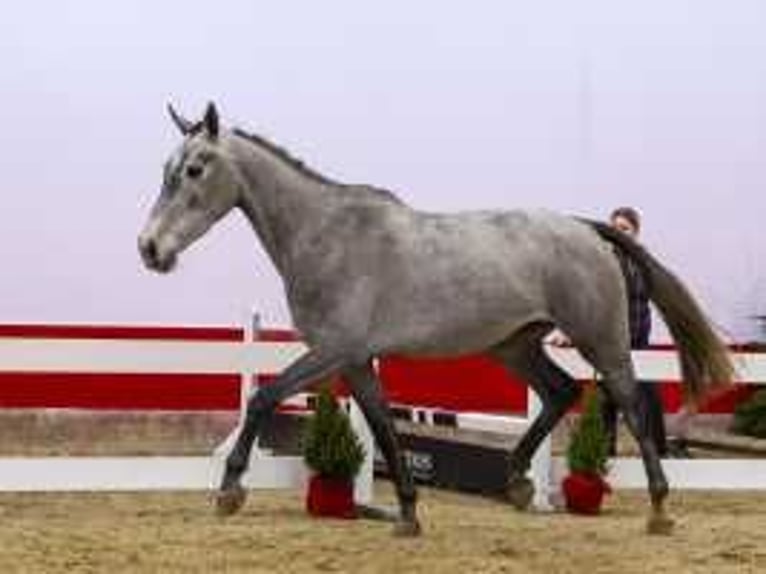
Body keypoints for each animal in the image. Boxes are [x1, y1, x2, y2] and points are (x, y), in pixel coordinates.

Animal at [141, 104, 736, 540]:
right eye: (166, 170)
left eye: (194, 169)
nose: (150, 249)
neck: (326, 235)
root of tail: (586, 229)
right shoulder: (355, 361)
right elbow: (383, 426)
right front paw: (407, 513)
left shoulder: (333, 351)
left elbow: (262, 398)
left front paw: (229, 491)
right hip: (514, 345)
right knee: (561, 391)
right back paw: (517, 484)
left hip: (600, 339)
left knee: (630, 403)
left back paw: (659, 509)